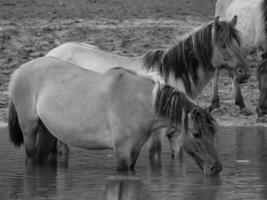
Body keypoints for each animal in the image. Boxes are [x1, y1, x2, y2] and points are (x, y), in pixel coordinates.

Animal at [7, 56, 224, 175]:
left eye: (213, 133)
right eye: (196, 134)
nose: (217, 168)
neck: (138, 102)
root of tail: (19, 70)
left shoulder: (134, 150)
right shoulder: (121, 152)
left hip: (47, 132)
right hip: (30, 130)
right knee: (31, 159)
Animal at [46, 16, 249, 158]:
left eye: (239, 43)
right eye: (223, 45)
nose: (244, 73)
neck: (171, 78)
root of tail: (51, 53)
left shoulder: (176, 135)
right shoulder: (156, 135)